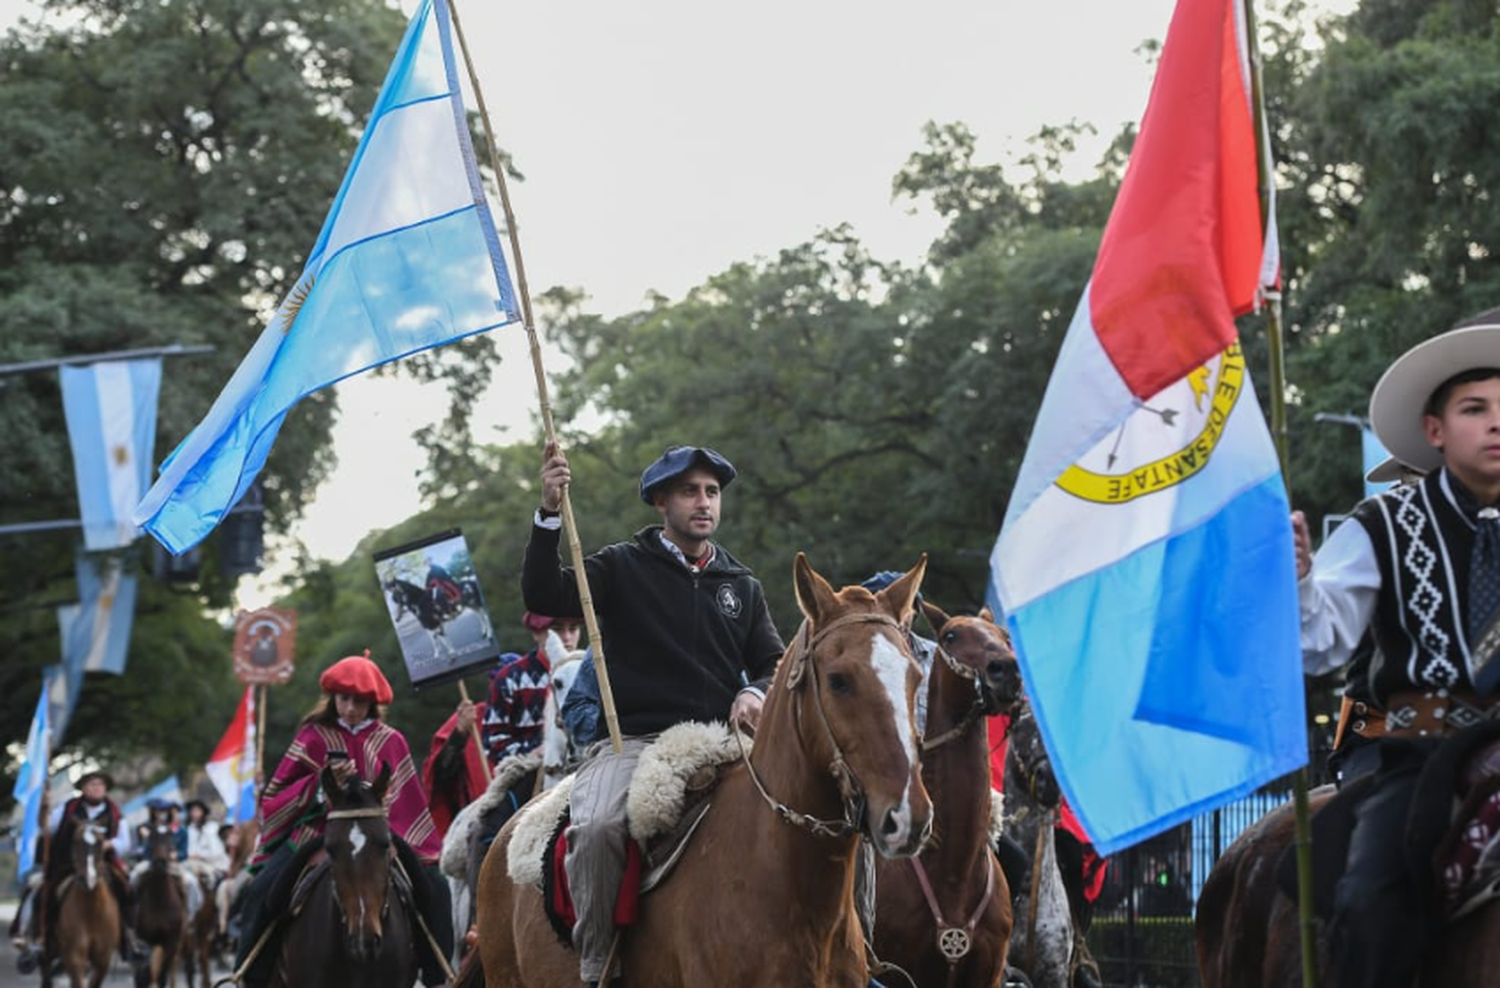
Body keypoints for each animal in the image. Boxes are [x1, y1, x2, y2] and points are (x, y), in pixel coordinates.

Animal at [46, 809, 120, 988]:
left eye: (101, 843)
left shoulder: (103, 960)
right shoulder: (75, 956)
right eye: (75, 842)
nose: (89, 879)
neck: (91, 910)